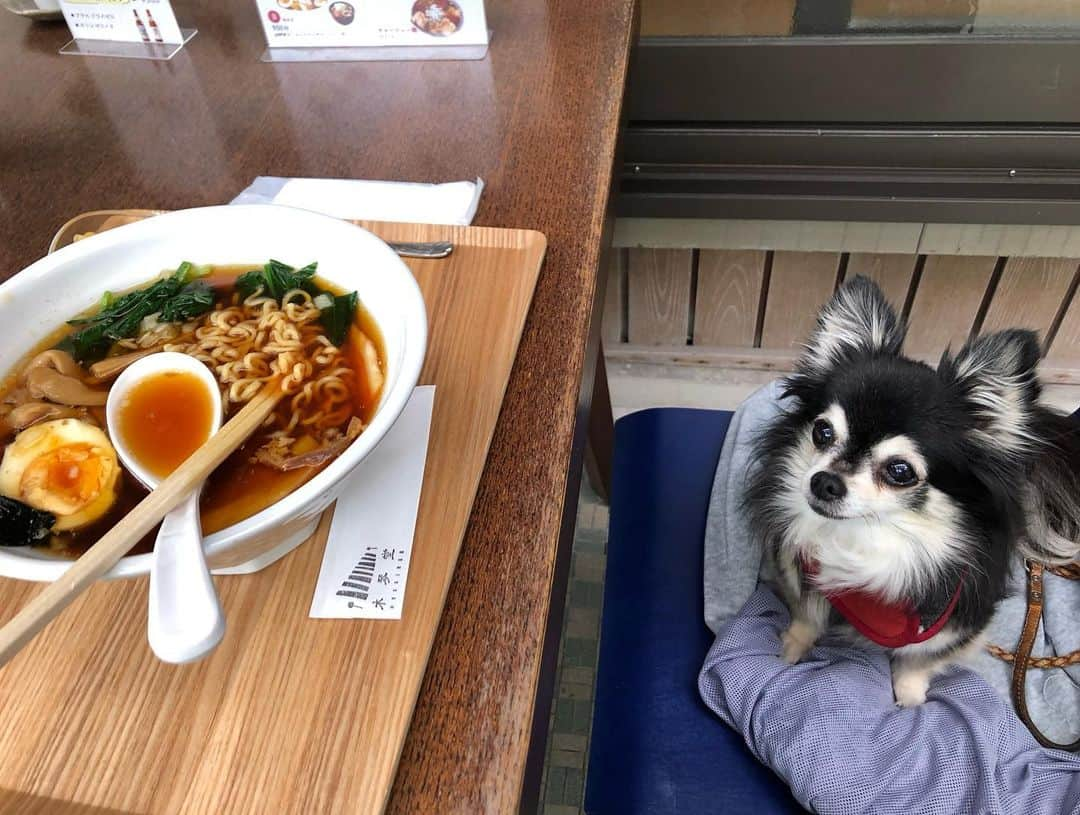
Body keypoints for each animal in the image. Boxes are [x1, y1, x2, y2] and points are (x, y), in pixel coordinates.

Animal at [747, 275, 1080, 708]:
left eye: (900, 471)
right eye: (823, 432)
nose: (824, 481)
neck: (868, 537)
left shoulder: (957, 619)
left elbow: (919, 660)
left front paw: (910, 700)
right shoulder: (800, 570)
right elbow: (806, 615)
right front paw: (789, 650)